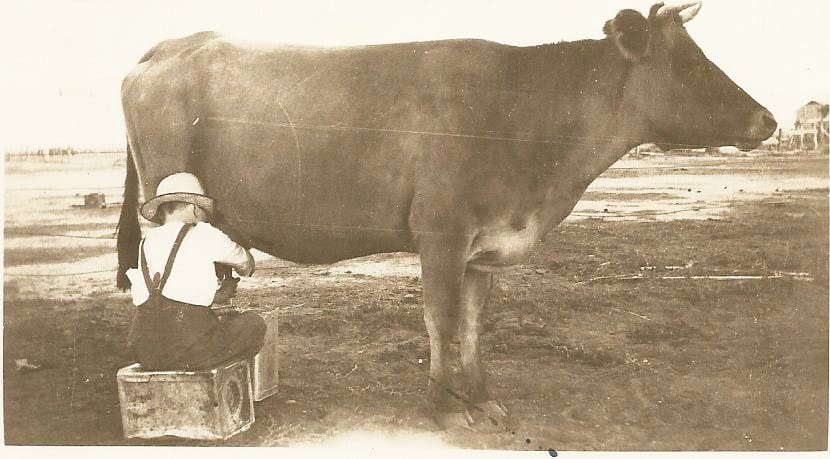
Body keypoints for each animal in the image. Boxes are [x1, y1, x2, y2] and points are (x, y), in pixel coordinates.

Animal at [117, 1, 776, 430]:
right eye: (691, 66)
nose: (768, 119)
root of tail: (170, 45)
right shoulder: (441, 234)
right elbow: (441, 319)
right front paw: (440, 405)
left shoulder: (486, 248)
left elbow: (475, 325)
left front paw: (482, 398)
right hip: (161, 206)